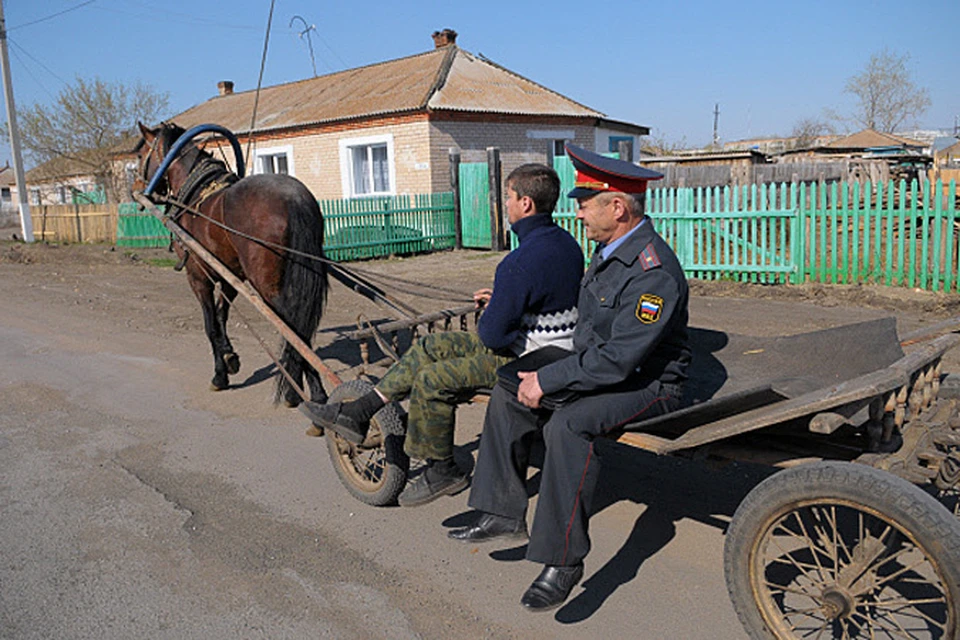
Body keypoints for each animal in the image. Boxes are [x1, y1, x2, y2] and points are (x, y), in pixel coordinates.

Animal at [133, 121, 330, 404]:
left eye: (140, 156)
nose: (136, 184)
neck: (196, 195)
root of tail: (294, 197)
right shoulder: (230, 277)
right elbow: (221, 315)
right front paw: (230, 357)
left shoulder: (198, 277)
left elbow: (211, 325)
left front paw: (219, 375)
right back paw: (310, 391)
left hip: (267, 286)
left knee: (293, 328)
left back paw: (302, 393)